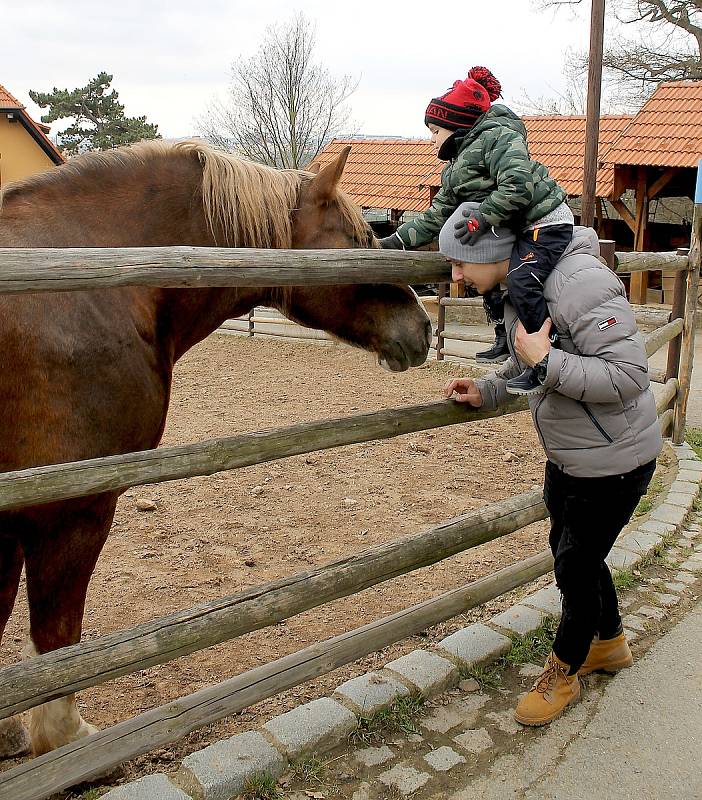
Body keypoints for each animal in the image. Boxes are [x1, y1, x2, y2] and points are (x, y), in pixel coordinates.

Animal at [0, 141, 434, 760]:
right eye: (359, 240)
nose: (422, 326)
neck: (101, 288)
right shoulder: (70, 507)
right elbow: (56, 636)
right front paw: (65, 739)